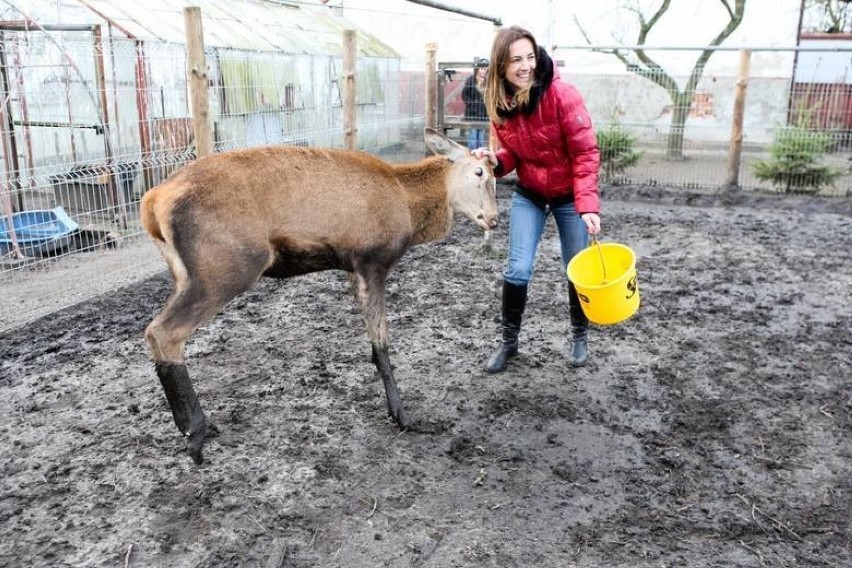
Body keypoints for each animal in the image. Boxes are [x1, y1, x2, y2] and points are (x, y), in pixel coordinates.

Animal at [140, 127, 500, 462]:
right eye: (480, 173)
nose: (495, 219)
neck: (410, 211)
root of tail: (152, 204)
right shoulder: (373, 260)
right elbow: (383, 344)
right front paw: (401, 415)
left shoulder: (352, 268)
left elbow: (373, 346)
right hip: (224, 267)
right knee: (162, 331)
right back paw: (195, 431)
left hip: (186, 273)